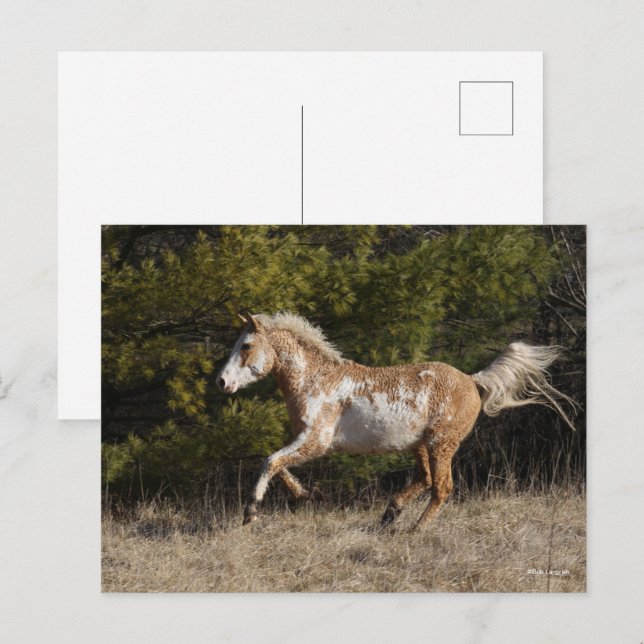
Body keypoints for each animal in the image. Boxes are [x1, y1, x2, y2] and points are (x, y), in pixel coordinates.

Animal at [216, 312, 576, 530]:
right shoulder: (305, 440)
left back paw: (414, 530)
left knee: (442, 487)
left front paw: (251, 512)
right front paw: (310, 495)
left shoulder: (317, 441)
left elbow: (270, 461)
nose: (222, 382)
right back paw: (390, 515)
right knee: (427, 480)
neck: (315, 380)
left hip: (441, 444)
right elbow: (279, 465)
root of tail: (472, 380)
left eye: (246, 345)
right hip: (420, 445)